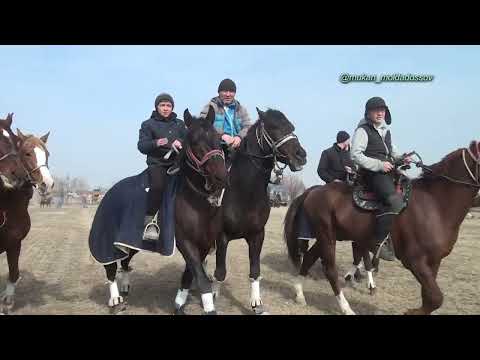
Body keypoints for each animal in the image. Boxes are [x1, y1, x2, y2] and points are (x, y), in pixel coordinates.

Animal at [0, 114, 53, 312]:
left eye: (47, 154)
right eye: (27, 153)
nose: (47, 183)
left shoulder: (14, 243)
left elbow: (14, 273)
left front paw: (7, 301)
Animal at [101, 107, 229, 316]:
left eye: (219, 138)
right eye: (194, 141)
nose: (221, 178)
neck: (195, 202)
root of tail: (110, 191)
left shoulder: (202, 244)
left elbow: (189, 275)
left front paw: (178, 304)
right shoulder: (186, 242)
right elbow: (201, 278)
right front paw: (209, 308)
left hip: (131, 243)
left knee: (125, 262)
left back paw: (125, 288)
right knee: (110, 268)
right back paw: (115, 300)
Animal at [211, 108, 308, 314]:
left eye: (291, 127)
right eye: (274, 127)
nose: (301, 155)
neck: (244, 192)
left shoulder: (257, 235)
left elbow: (255, 270)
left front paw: (257, 304)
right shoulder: (222, 236)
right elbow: (220, 271)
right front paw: (213, 297)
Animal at [284, 141, 480, 316]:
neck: (435, 204)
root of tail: (313, 191)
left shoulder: (434, 262)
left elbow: (429, 296)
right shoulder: (414, 261)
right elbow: (435, 298)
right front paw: (410, 312)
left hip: (328, 237)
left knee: (309, 258)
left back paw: (300, 295)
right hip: (327, 237)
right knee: (330, 271)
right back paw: (346, 308)